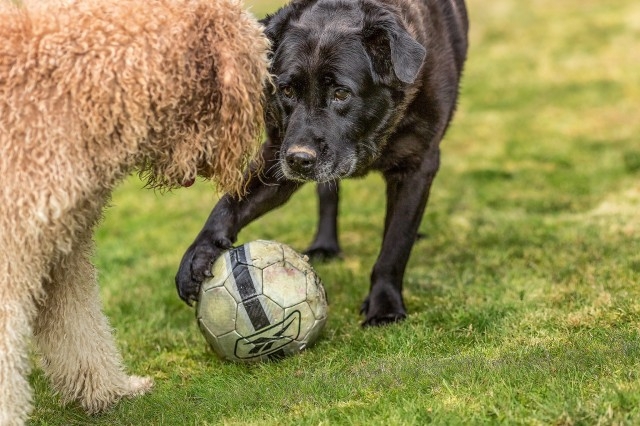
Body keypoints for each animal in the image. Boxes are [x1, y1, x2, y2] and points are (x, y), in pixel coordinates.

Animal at [178, 0, 468, 326]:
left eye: (341, 93)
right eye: (287, 90)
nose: (299, 159)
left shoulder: (418, 164)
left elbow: (396, 242)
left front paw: (385, 306)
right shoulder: (278, 155)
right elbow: (231, 204)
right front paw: (199, 253)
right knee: (327, 193)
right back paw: (325, 244)